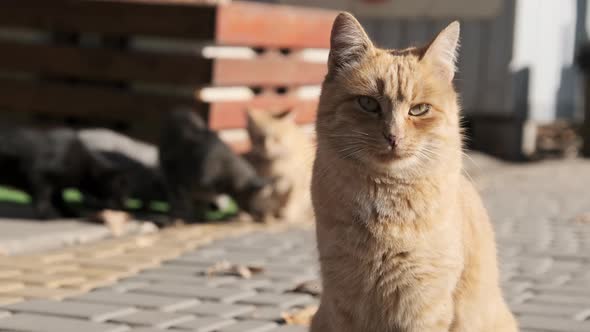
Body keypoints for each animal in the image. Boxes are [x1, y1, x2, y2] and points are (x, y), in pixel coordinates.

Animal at [0, 126, 128, 218]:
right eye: (120, 190)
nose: (124, 205)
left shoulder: (57, 187)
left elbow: (60, 202)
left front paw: (70, 213)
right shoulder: (38, 175)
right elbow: (42, 197)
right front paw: (44, 215)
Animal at [312, 11, 520, 330]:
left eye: (419, 109)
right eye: (367, 103)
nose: (393, 136)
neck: (386, 196)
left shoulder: (423, 304)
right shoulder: (343, 298)